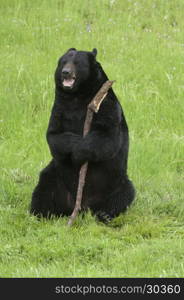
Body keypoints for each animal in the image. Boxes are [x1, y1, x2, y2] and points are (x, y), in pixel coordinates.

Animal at [30, 48, 135, 221]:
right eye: (63, 62)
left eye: (77, 63)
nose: (65, 72)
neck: (76, 96)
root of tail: (81, 208)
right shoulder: (60, 107)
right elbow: (55, 135)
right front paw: (74, 144)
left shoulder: (107, 104)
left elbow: (107, 137)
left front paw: (79, 152)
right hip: (55, 176)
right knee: (44, 187)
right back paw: (40, 213)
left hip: (116, 182)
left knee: (123, 195)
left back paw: (104, 215)